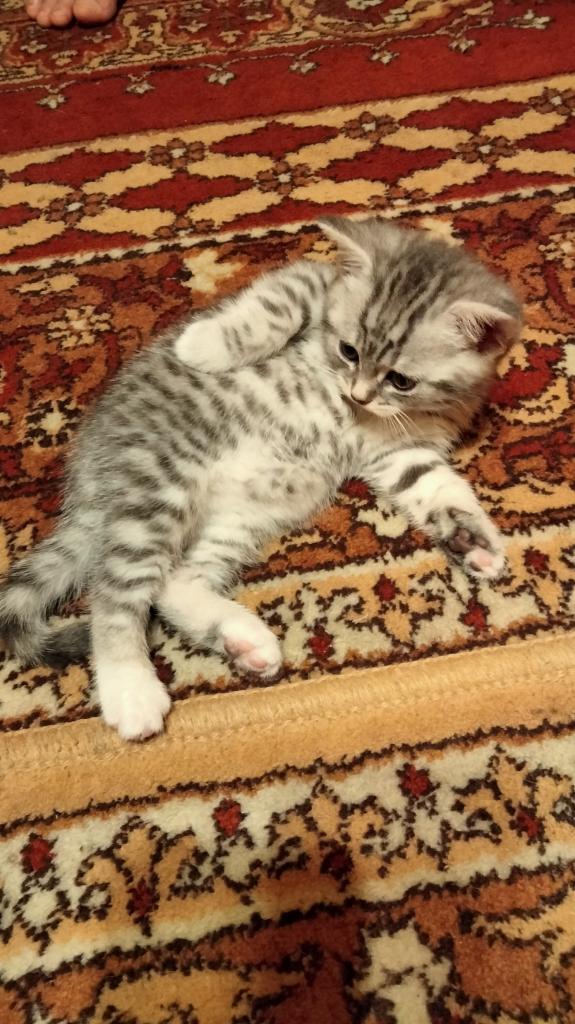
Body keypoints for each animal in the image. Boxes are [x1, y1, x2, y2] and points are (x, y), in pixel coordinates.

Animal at [0, 217, 521, 741]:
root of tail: (88, 475)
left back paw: (242, 639)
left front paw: (475, 541)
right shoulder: (312, 279)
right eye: (348, 351)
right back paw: (131, 690)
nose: (357, 395)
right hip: (157, 486)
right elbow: (276, 303)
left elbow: (441, 489)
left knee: (172, 582)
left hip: (239, 518)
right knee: (113, 594)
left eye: (401, 380)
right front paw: (203, 344)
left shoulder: (403, 453)